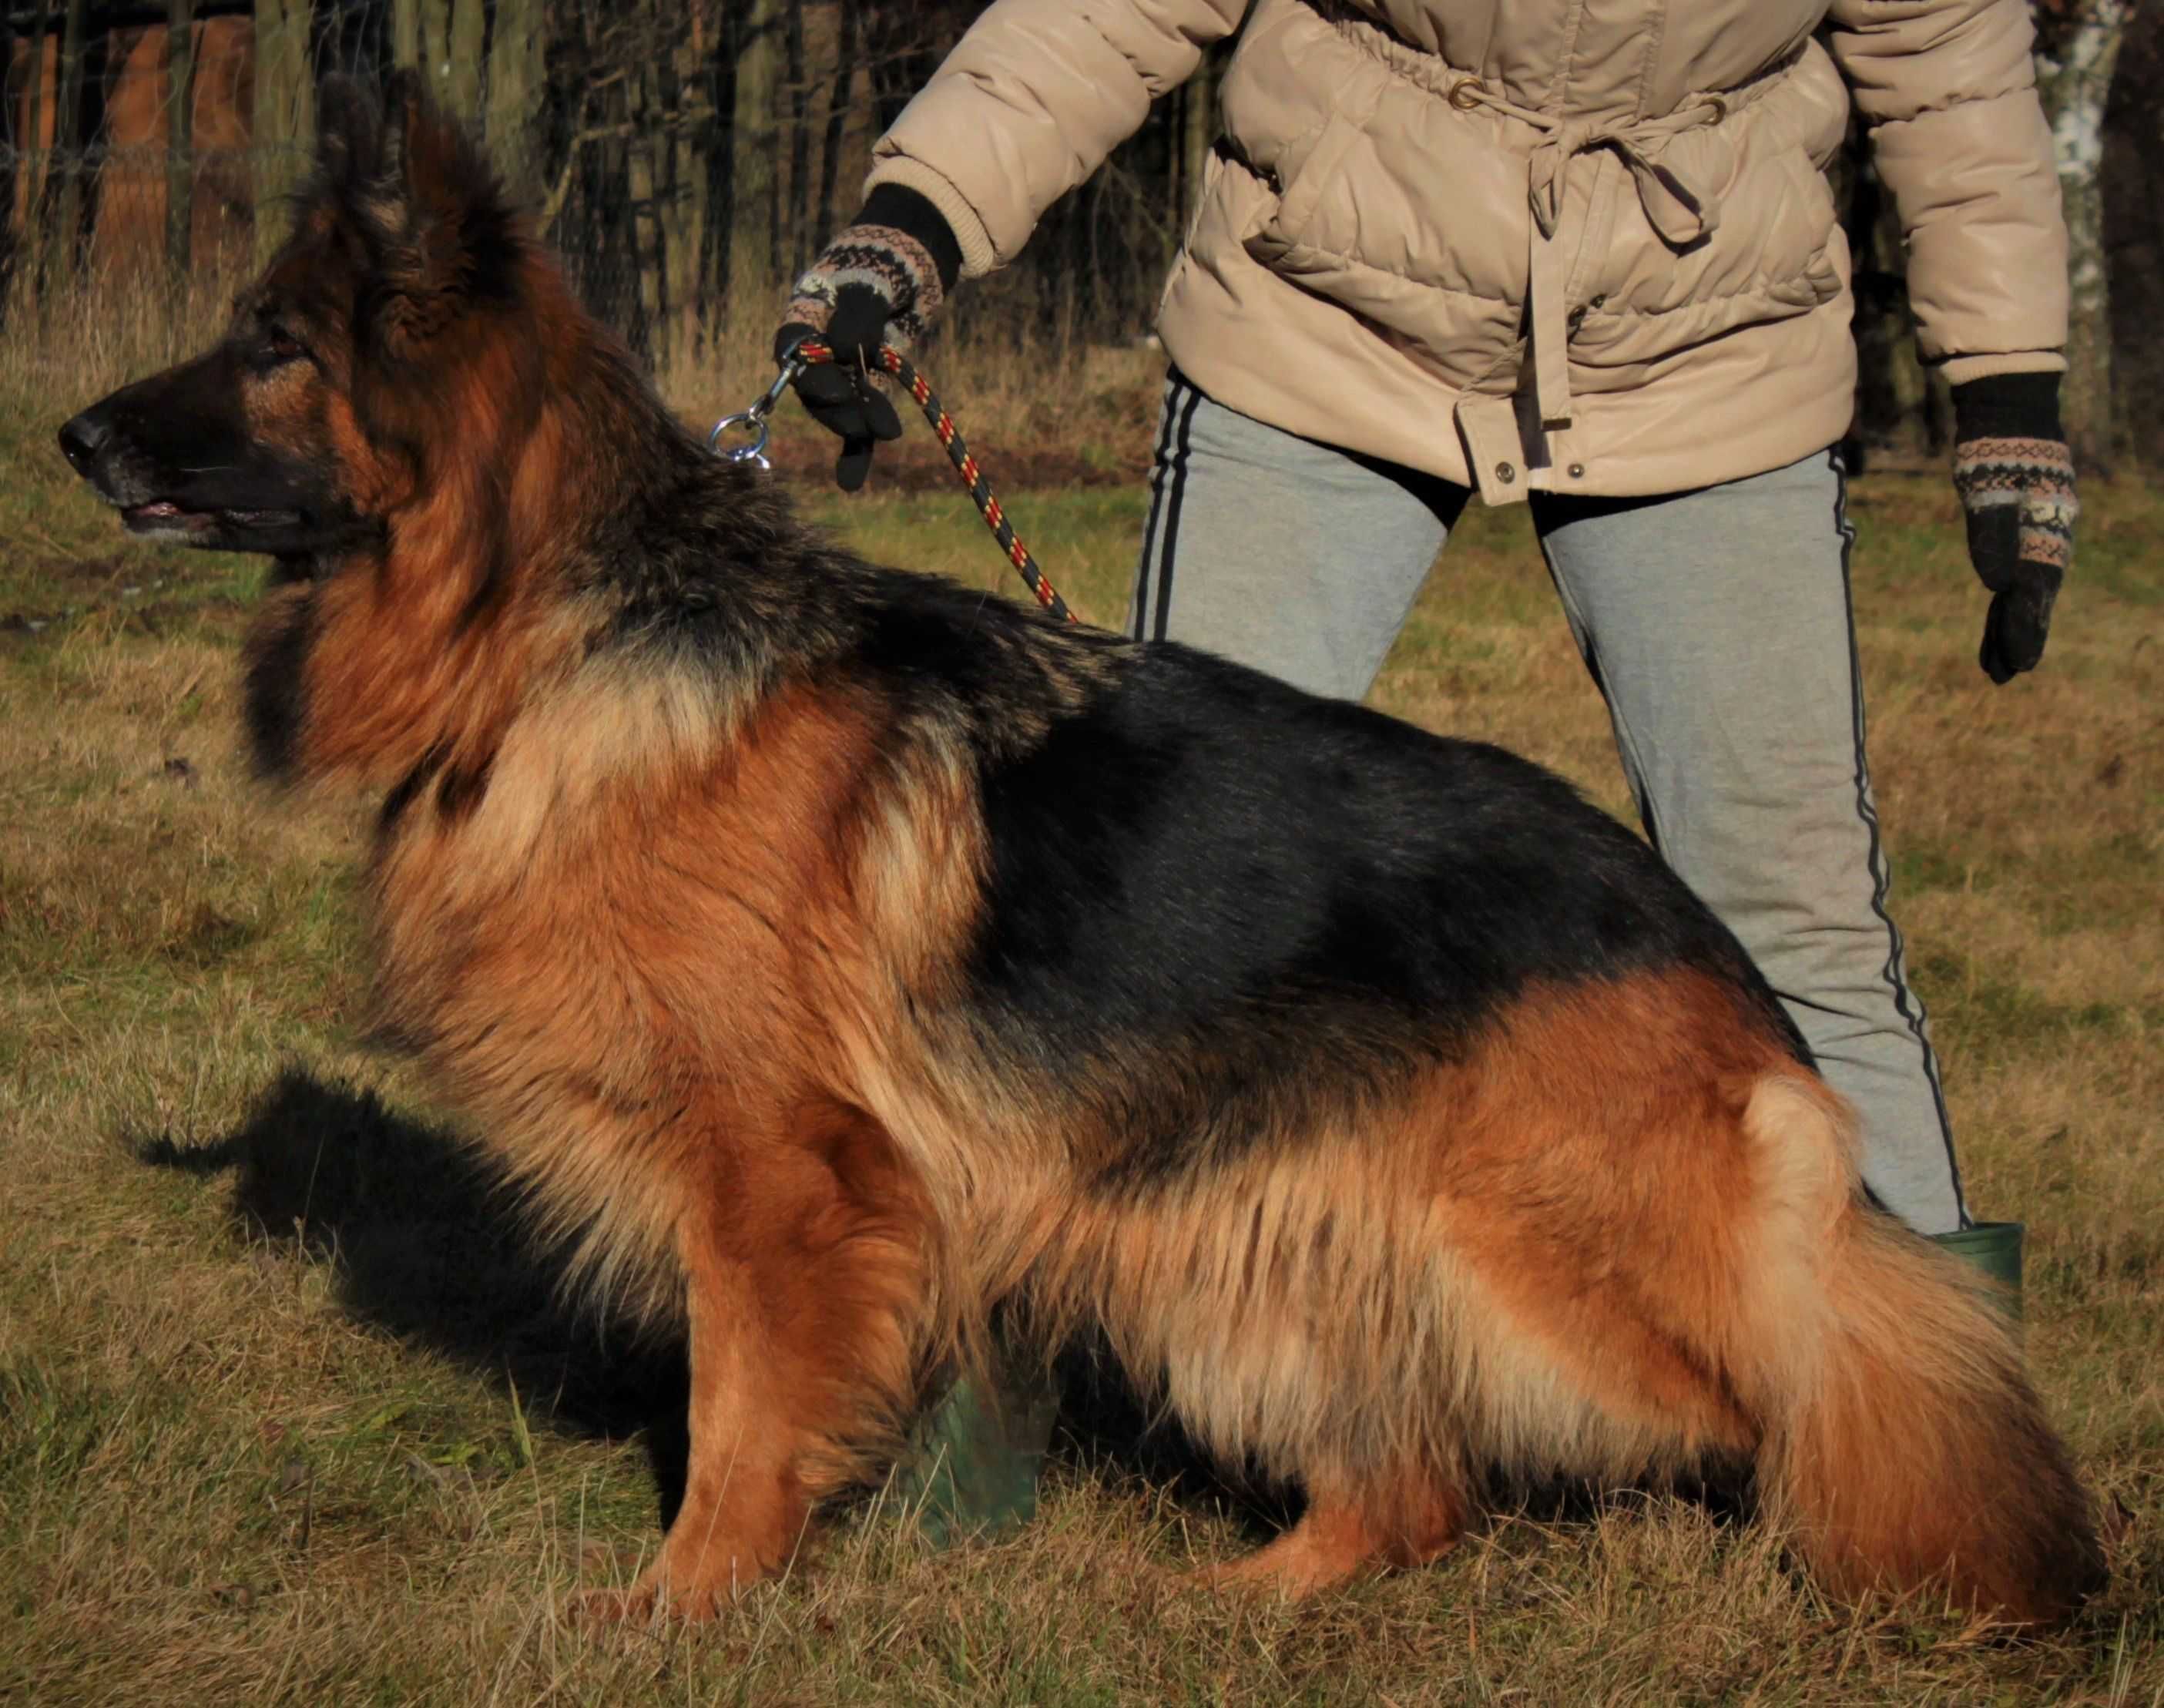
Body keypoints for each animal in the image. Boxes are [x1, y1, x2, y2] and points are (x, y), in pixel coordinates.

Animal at [59, 76, 2103, 1628]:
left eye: (270, 345)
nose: (71, 431)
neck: (559, 629)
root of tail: (1696, 939)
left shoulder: (784, 1175)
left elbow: (737, 1411)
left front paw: (682, 1607)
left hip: (1527, 1266)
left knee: (1821, 1371)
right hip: (1252, 1247)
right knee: (1420, 1483)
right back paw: (1249, 1599)